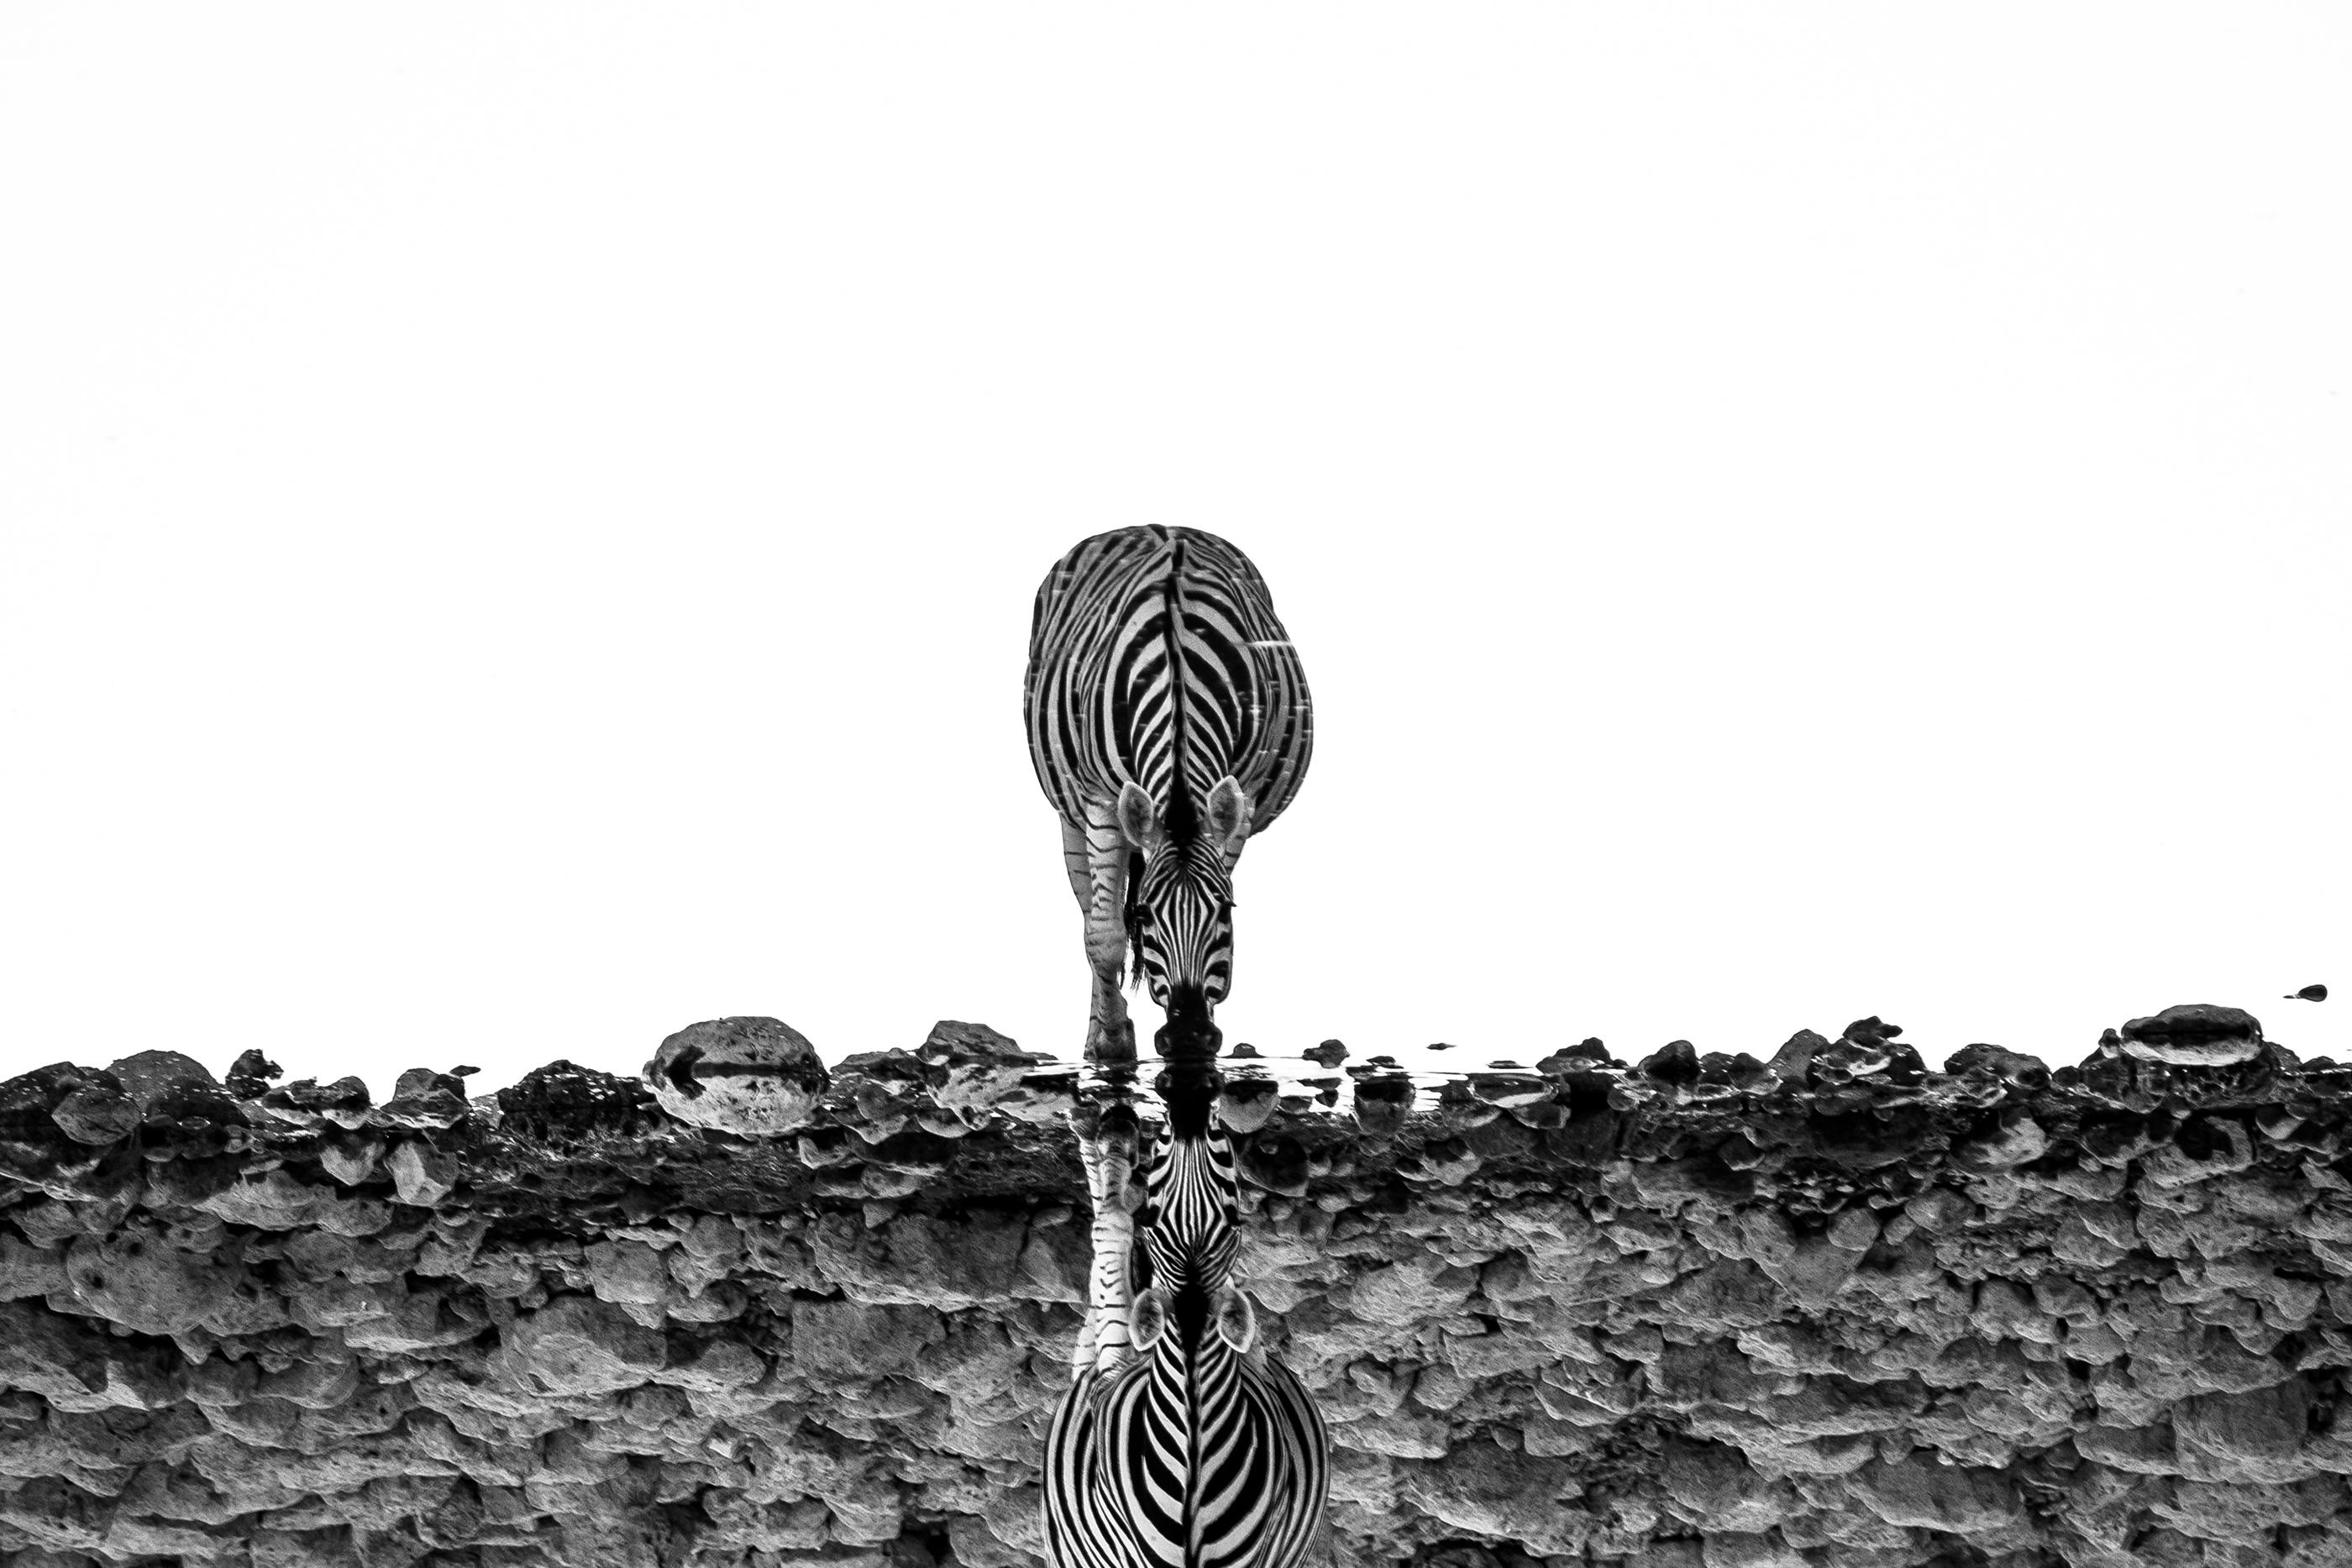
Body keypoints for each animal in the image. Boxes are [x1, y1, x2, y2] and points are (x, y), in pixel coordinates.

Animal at [1024, 526, 1313, 1064]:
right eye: (1145, 914)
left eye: (1226, 910)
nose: (1187, 1038)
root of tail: (1157, 526)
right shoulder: (1100, 802)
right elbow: (1103, 936)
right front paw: (1113, 1041)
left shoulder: (1238, 808)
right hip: (1070, 813)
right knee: (1090, 913)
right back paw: (1095, 1033)